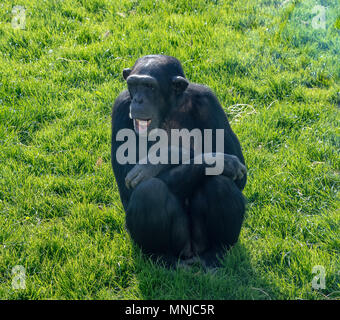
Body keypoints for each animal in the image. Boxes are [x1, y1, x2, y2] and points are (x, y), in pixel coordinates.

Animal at [111, 55, 247, 268]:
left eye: (149, 86)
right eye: (133, 85)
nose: (138, 99)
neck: (168, 109)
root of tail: (190, 254)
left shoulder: (209, 101)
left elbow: (240, 173)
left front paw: (163, 158)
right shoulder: (121, 106)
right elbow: (128, 185)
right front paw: (166, 156)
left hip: (199, 242)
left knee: (220, 183)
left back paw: (216, 252)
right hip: (176, 244)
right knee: (150, 191)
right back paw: (160, 257)